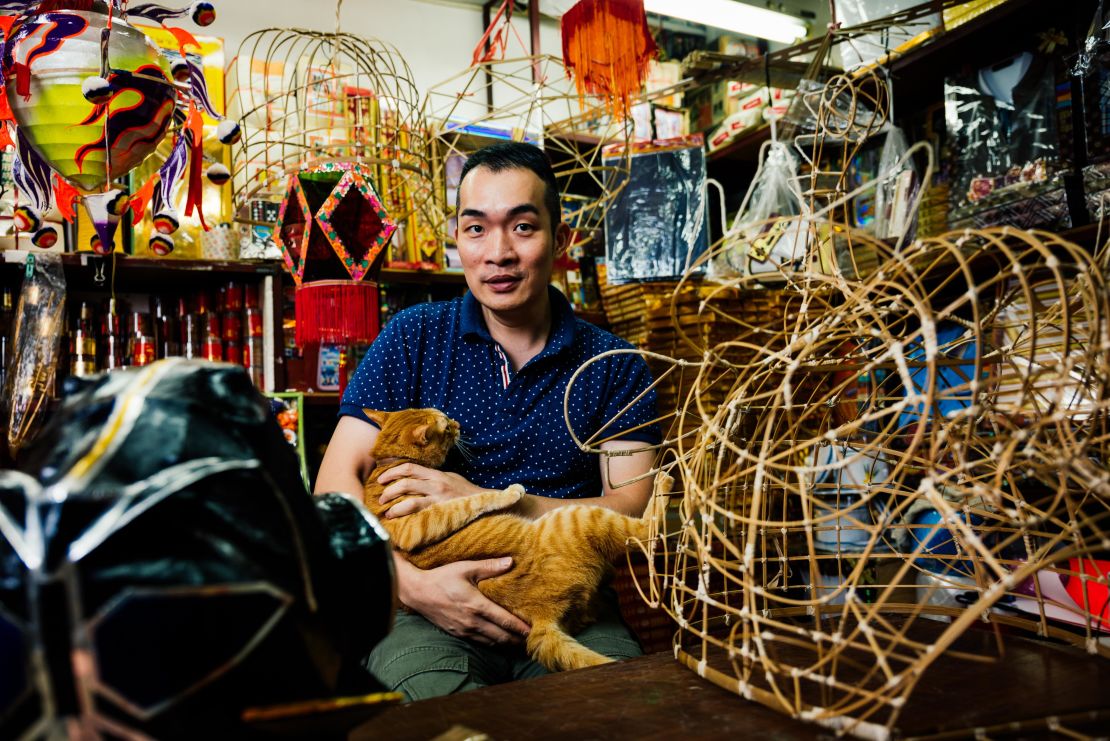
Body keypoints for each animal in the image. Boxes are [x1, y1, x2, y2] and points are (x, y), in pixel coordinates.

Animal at [361, 408, 666, 674]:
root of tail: (542, 618)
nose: (458, 424)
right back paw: (665, 480)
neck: (390, 460)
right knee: (645, 531)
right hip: (579, 515)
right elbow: (469, 500)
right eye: (446, 427)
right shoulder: (415, 525)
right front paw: (509, 492)